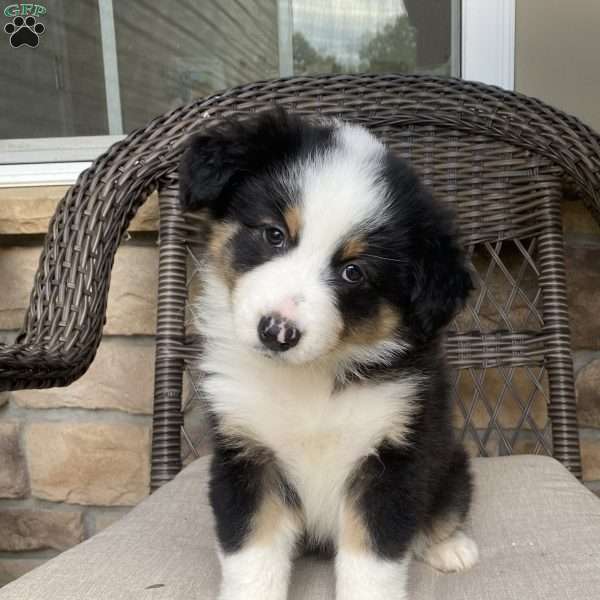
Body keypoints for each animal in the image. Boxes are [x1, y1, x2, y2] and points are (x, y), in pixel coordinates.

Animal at [178, 109, 478, 600]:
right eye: (274, 234)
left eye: (353, 272)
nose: (277, 332)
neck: (309, 377)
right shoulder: (246, 456)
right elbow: (252, 559)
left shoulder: (393, 461)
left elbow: (373, 566)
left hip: (450, 462)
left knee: (443, 510)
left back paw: (450, 547)